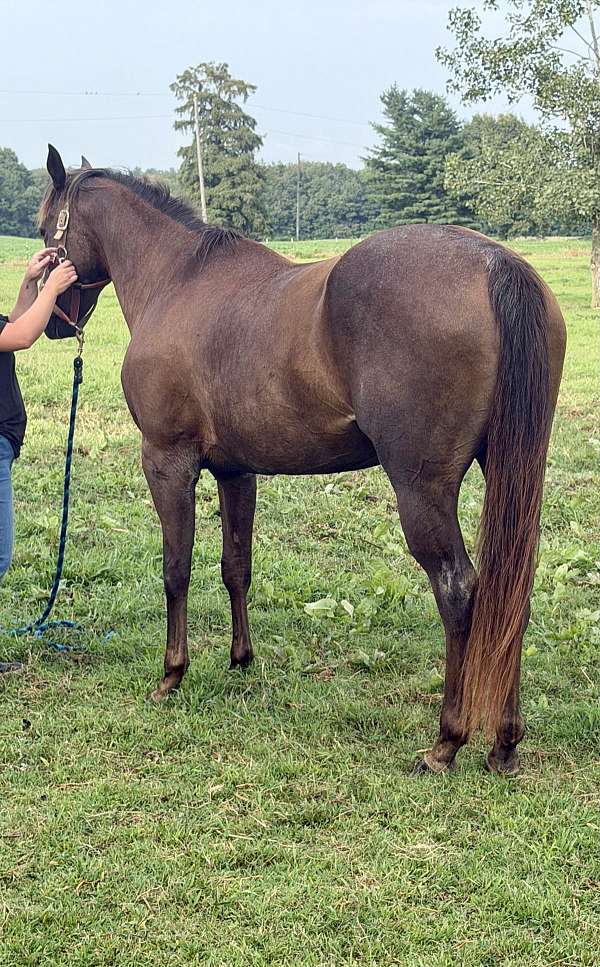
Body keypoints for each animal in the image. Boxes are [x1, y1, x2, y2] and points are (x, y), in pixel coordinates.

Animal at [38, 145, 566, 775]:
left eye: (44, 230)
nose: (51, 322)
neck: (178, 281)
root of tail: (491, 262)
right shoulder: (237, 471)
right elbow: (235, 567)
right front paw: (240, 660)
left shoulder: (167, 462)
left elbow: (176, 569)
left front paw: (172, 675)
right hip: (513, 476)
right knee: (511, 595)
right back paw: (504, 741)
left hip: (423, 491)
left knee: (461, 592)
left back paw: (448, 741)